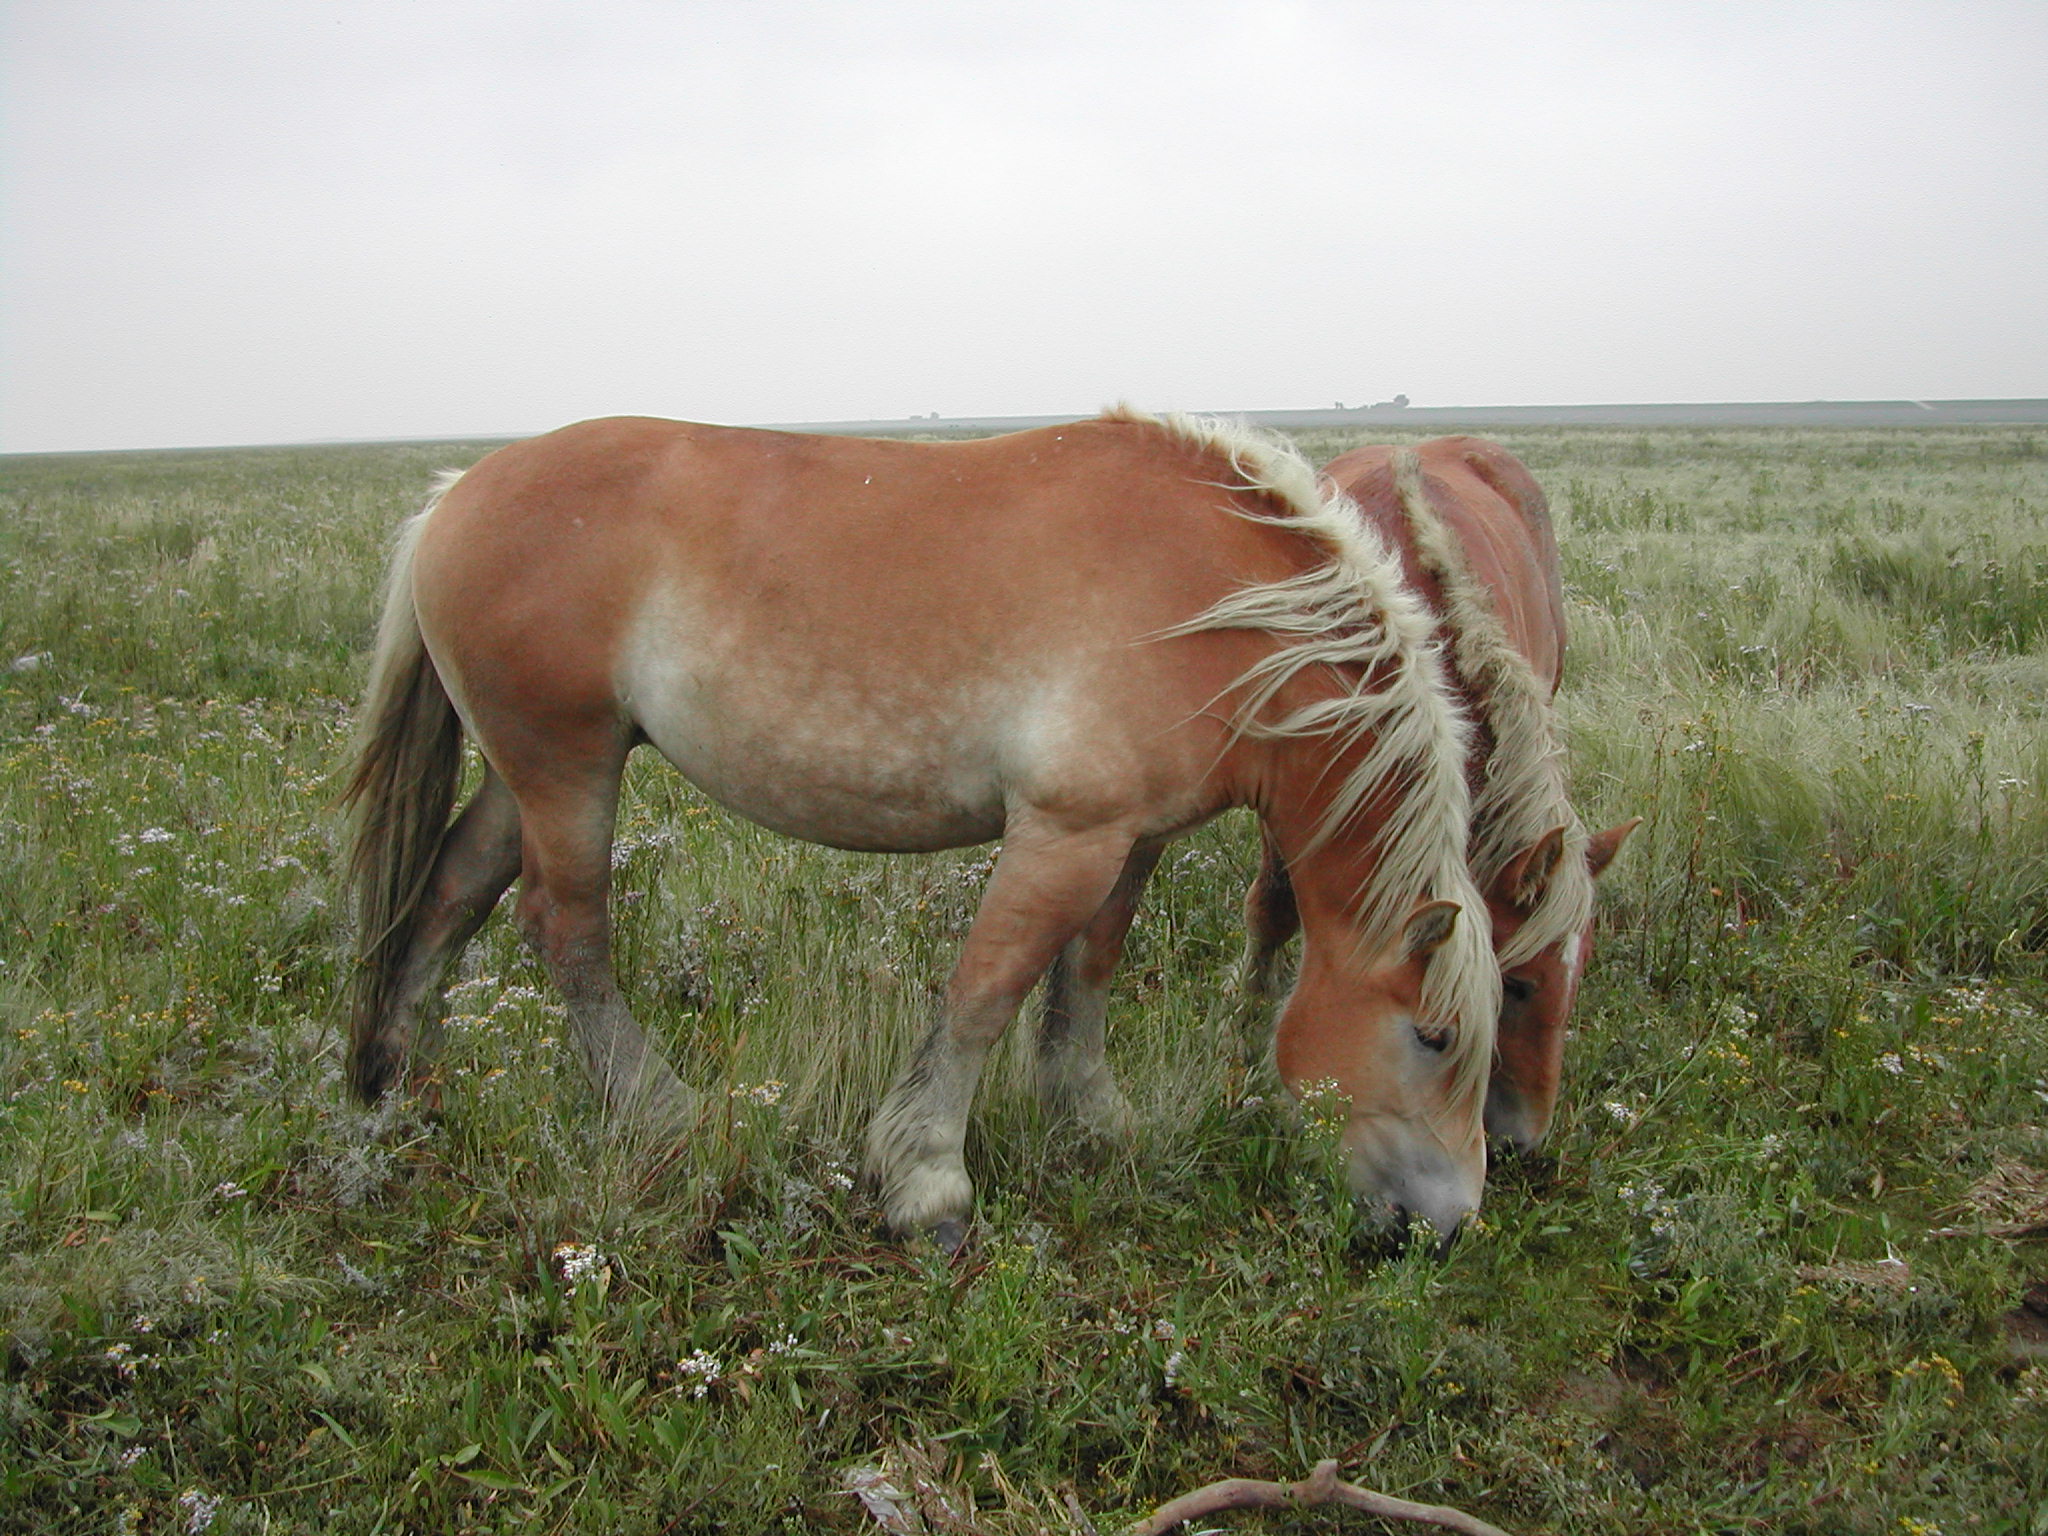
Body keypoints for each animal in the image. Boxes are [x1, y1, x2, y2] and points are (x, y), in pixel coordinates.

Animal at [338, 407, 1500, 1245]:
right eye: (1435, 1038)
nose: (1445, 1227)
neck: (1215, 603)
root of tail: (452, 496)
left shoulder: (1130, 838)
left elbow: (1084, 979)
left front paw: (1092, 1119)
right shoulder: (1065, 834)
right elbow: (985, 993)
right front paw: (927, 1180)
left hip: (529, 771)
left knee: (452, 891)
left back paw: (399, 1084)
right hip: (565, 767)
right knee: (565, 930)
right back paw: (660, 1109)